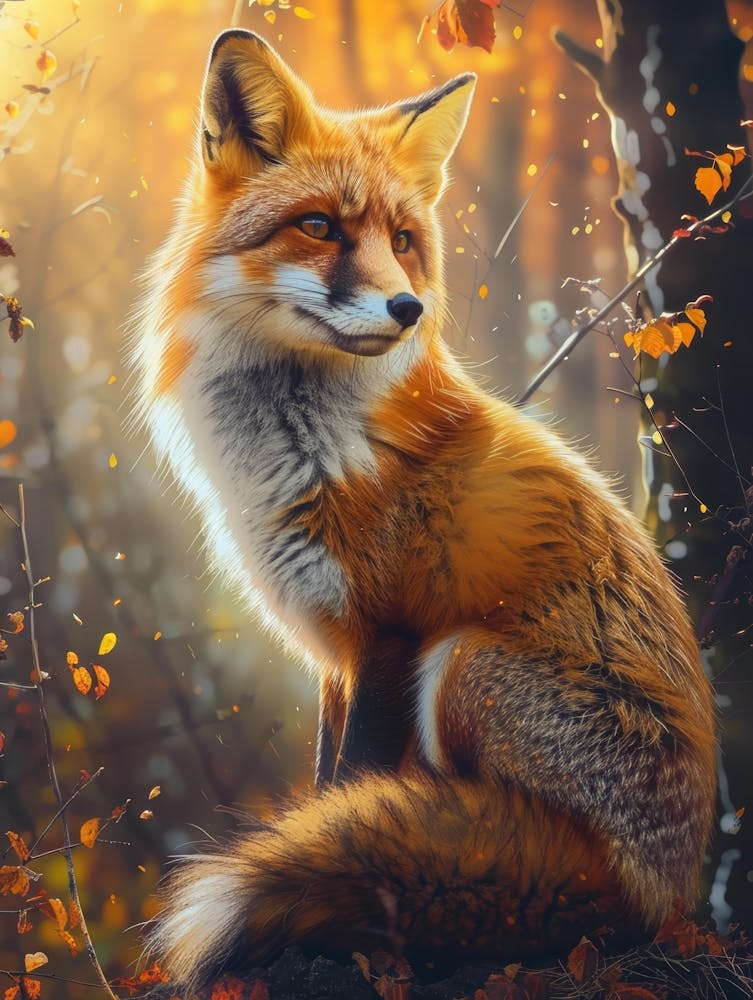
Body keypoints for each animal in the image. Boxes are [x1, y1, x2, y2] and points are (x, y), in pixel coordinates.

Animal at [128, 27, 717, 995]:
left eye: (402, 242)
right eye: (319, 226)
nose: (405, 308)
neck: (303, 448)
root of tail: (662, 898)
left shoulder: (390, 634)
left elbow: (352, 785)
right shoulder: (334, 648)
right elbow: (327, 786)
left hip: (463, 661)